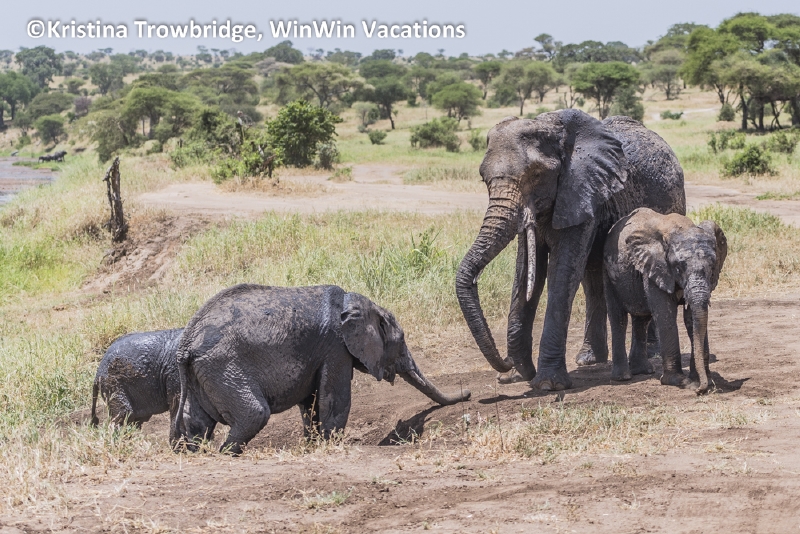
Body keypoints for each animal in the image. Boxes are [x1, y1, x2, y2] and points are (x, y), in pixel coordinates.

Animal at [171, 284, 471, 455]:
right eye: (402, 340)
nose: (467, 393)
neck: (358, 303)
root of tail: (185, 344)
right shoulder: (335, 346)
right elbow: (334, 400)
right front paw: (330, 446)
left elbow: (311, 404)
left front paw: (313, 446)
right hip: (223, 366)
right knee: (254, 413)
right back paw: (225, 453)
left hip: (204, 372)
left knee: (195, 421)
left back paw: (193, 453)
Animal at [456, 110, 685, 391]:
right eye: (483, 178)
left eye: (535, 175)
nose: (506, 364)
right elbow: (526, 270)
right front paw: (516, 376)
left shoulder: (582, 191)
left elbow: (561, 271)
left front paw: (548, 384)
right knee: (592, 279)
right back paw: (589, 359)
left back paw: (651, 353)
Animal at [603, 208, 727, 393]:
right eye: (678, 267)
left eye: (712, 267)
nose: (700, 390)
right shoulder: (655, 268)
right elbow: (665, 315)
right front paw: (679, 382)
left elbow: (691, 318)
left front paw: (702, 381)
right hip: (608, 271)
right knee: (618, 317)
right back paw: (622, 377)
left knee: (641, 320)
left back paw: (643, 371)